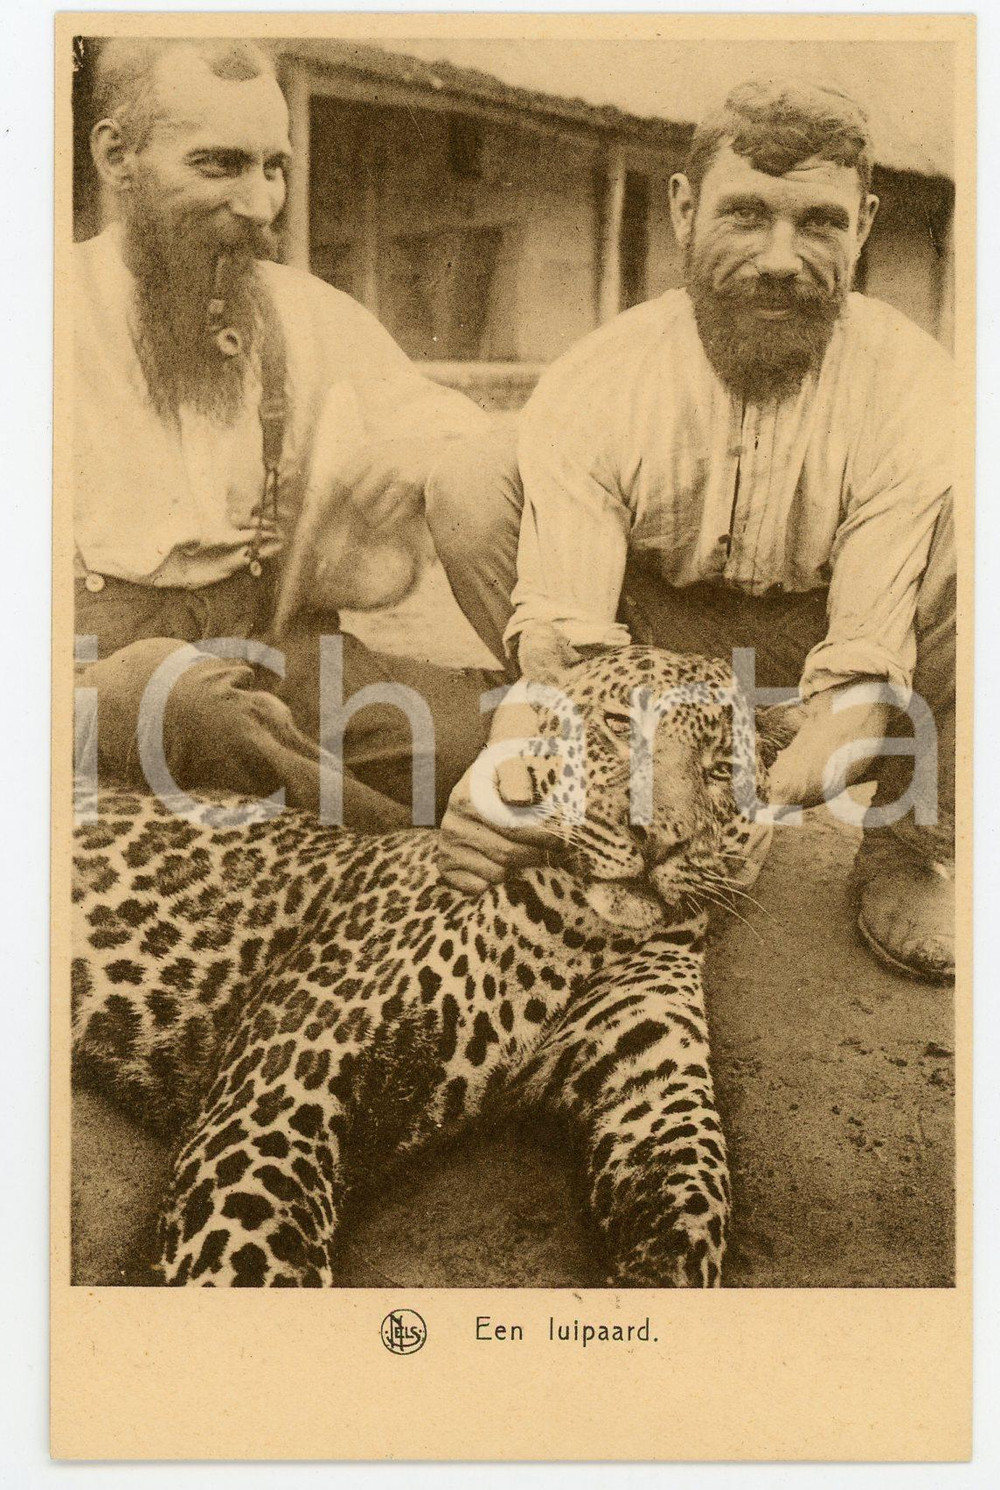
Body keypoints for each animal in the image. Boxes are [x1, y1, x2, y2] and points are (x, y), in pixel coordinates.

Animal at [72, 646, 795, 1289]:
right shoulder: (278, 1095)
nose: (659, 838)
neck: (588, 935)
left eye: (722, 769)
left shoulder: (656, 1090)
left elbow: (695, 1204)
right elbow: (254, 1261)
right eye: (620, 726)